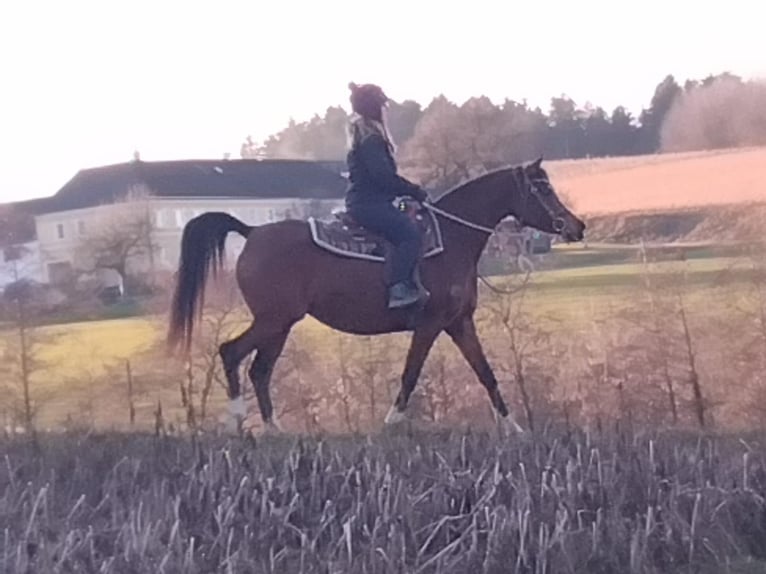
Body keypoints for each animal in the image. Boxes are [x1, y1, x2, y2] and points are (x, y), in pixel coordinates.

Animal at [168, 158, 588, 432]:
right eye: (542, 187)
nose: (577, 226)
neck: (451, 239)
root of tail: (252, 231)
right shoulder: (430, 324)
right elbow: (411, 373)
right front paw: (392, 421)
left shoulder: (459, 323)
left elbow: (486, 373)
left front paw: (513, 427)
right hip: (274, 320)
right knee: (231, 352)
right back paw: (238, 420)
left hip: (281, 324)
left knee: (259, 369)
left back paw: (273, 430)